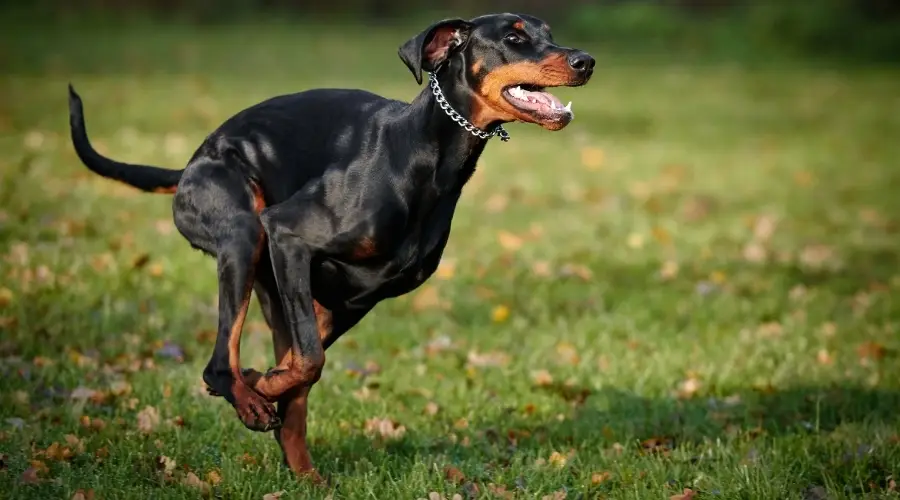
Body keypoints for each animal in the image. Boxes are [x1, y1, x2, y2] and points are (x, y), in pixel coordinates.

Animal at [68, 11, 592, 480]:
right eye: (514, 37)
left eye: (548, 32)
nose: (586, 61)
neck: (421, 155)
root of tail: (189, 167)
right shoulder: (288, 235)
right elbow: (308, 361)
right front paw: (261, 388)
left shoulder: (355, 298)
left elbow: (303, 368)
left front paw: (264, 383)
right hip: (244, 234)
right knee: (218, 364)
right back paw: (250, 402)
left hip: (279, 288)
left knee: (287, 396)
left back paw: (301, 469)